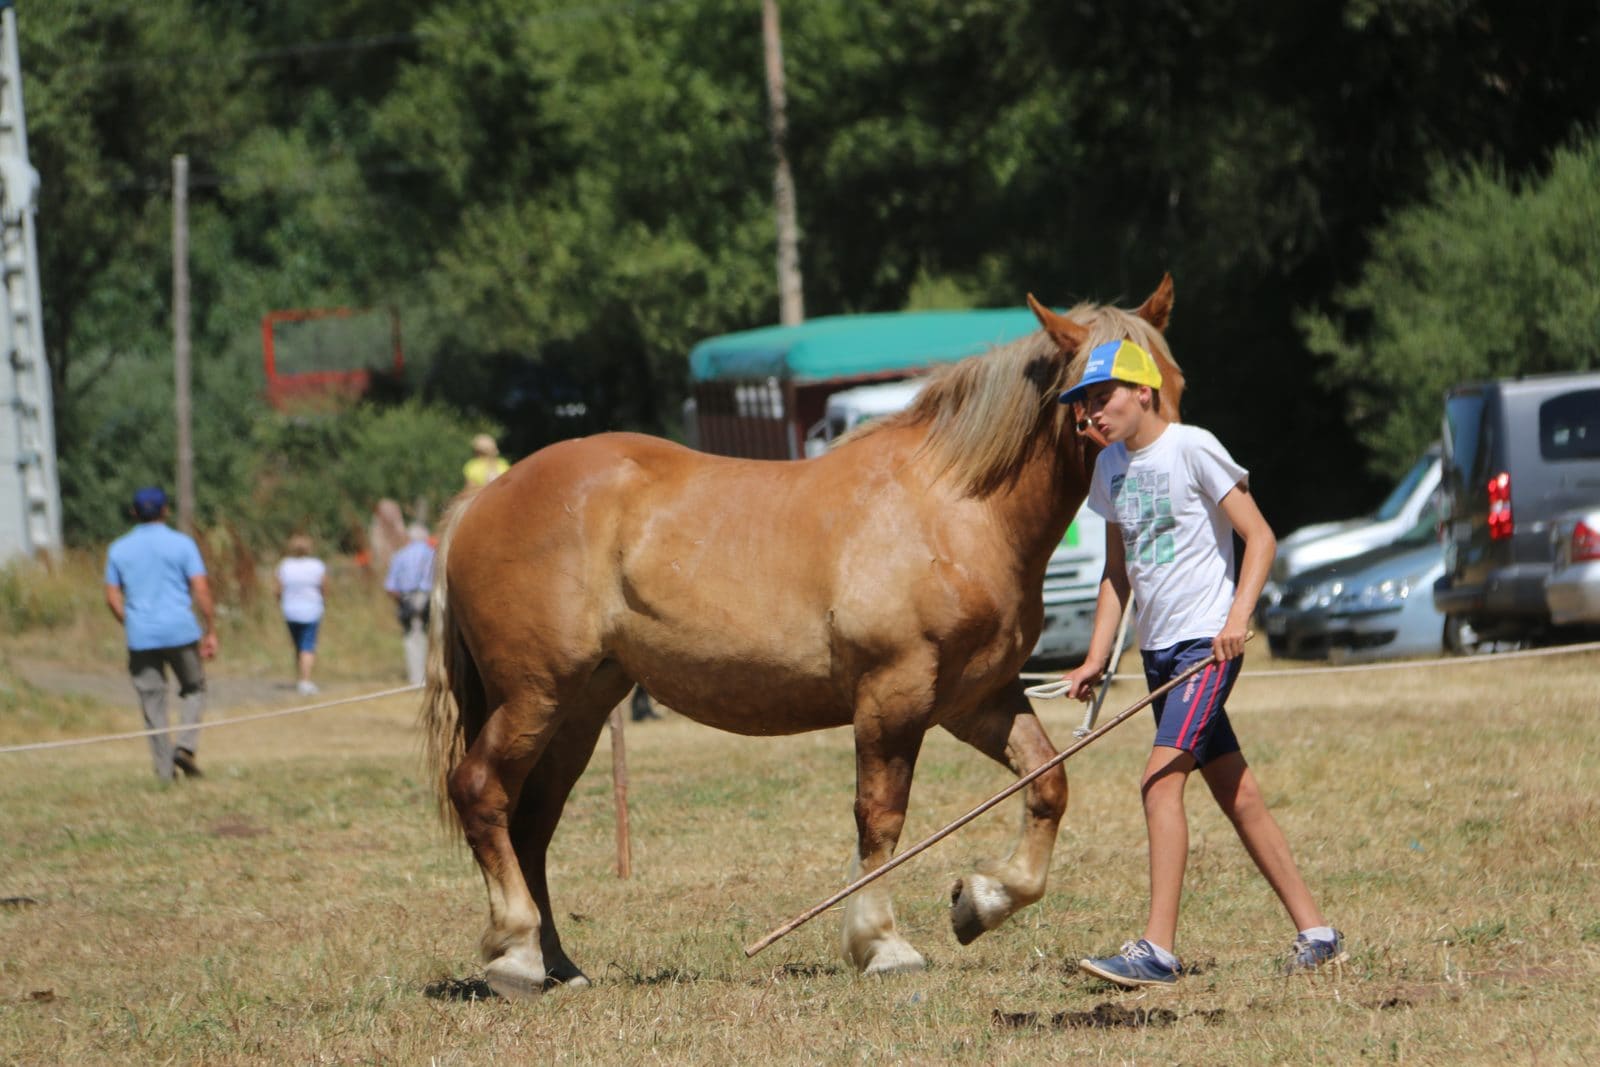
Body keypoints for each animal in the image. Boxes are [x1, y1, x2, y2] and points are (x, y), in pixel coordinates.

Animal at [419, 275, 1184, 1004]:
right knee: (481, 791)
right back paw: (516, 956)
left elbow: (1047, 782)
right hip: (534, 695)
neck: (953, 510)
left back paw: (558, 964)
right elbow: (881, 818)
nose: (1163, 466)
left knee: (531, 824)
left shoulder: (977, 700)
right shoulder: (893, 696)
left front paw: (982, 899)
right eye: (1100, 389)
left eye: (1172, 379)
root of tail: (482, 498)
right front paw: (882, 943)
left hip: (579, 708)